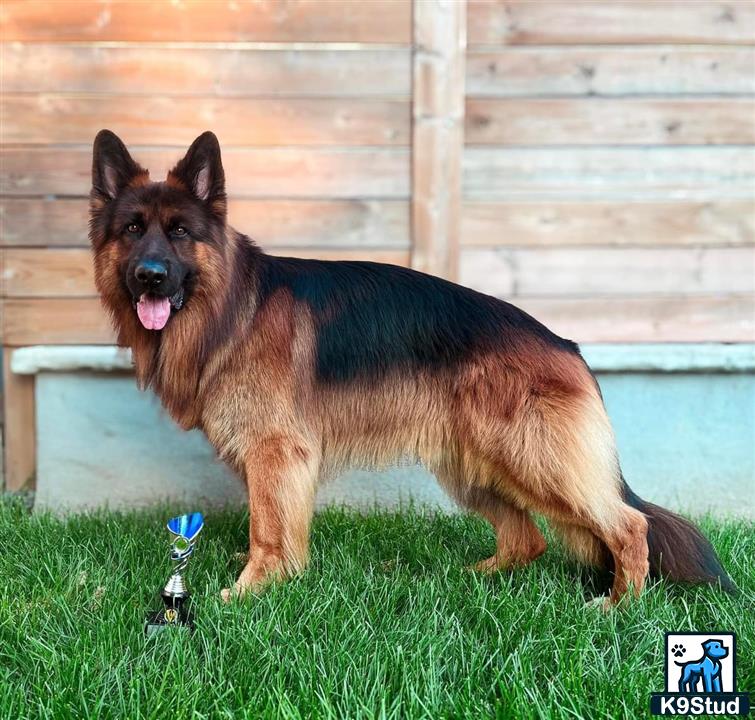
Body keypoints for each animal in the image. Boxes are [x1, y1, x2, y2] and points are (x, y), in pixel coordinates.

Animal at [87, 129, 732, 600]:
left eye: (179, 232)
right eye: (132, 229)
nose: (149, 276)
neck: (229, 308)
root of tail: (567, 346)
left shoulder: (277, 454)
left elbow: (268, 529)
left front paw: (250, 592)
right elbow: (275, 527)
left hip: (534, 462)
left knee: (628, 526)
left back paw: (619, 604)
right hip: (474, 467)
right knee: (529, 539)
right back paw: (481, 578)